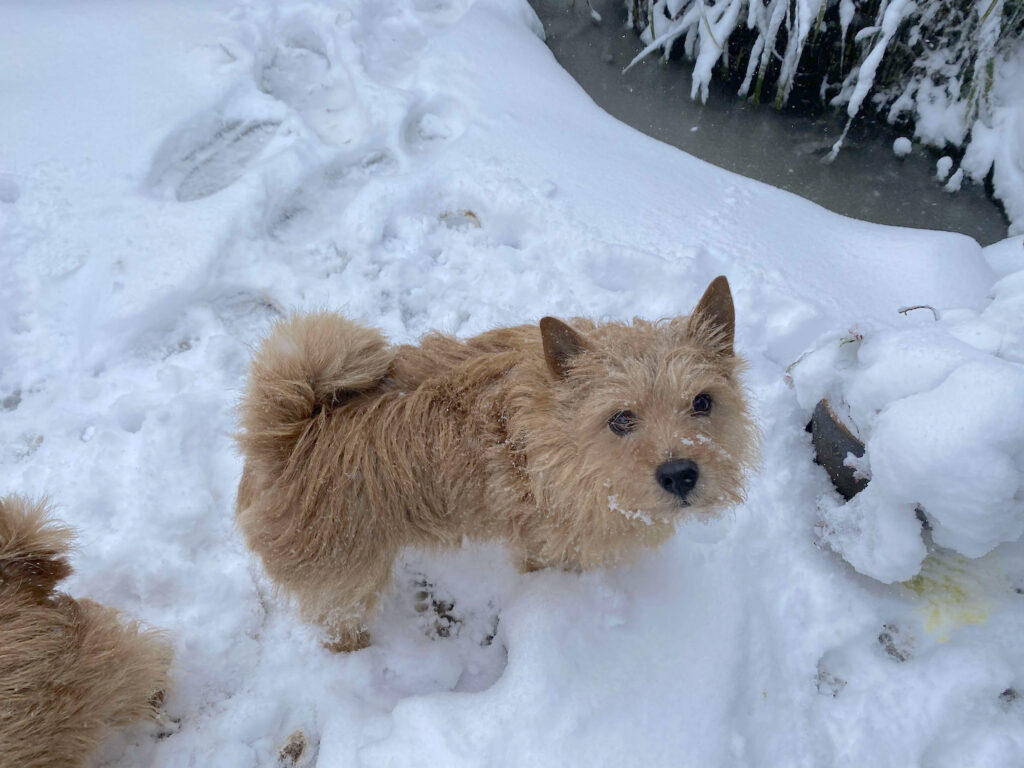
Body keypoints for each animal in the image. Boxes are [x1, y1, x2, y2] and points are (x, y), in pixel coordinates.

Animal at [235, 276, 757, 651]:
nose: (680, 474)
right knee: (339, 626)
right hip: (345, 582)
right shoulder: (546, 548)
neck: (557, 436)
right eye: (621, 418)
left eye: (703, 402)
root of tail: (289, 432)